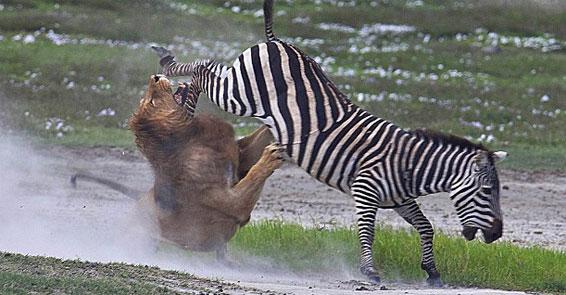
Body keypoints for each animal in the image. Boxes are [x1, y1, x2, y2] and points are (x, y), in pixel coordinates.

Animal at [72, 75, 282, 260]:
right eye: (152, 102)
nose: (155, 77)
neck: (193, 136)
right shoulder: (230, 203)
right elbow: (253, 177)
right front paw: (271, 155)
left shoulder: (241, 156)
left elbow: (264, 131)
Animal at [152, 0, 510, 286]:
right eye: (487, 191)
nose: (497, 235)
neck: (409, 165)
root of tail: (278, 41)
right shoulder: (366, 188)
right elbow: (368, 230)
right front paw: (369, 271)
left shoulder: (400, 199)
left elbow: (426, 227)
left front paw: (432, 271)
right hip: (240, 93)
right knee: (204, 69)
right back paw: (175, 82)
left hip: (241, 87)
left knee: (209, 69)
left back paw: (180, 90)